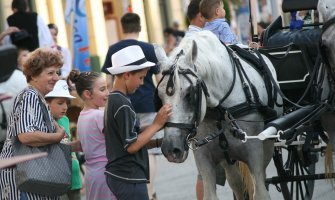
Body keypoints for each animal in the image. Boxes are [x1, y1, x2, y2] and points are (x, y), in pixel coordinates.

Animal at [155, 30, 284, 199]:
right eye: (159, 95)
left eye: (189, 94)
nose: (171, 149)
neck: (221, 109)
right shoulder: (204, 158)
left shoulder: (255, 153)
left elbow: (260, 192)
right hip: (227, 158)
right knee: (236, 183)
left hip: (267, 146)